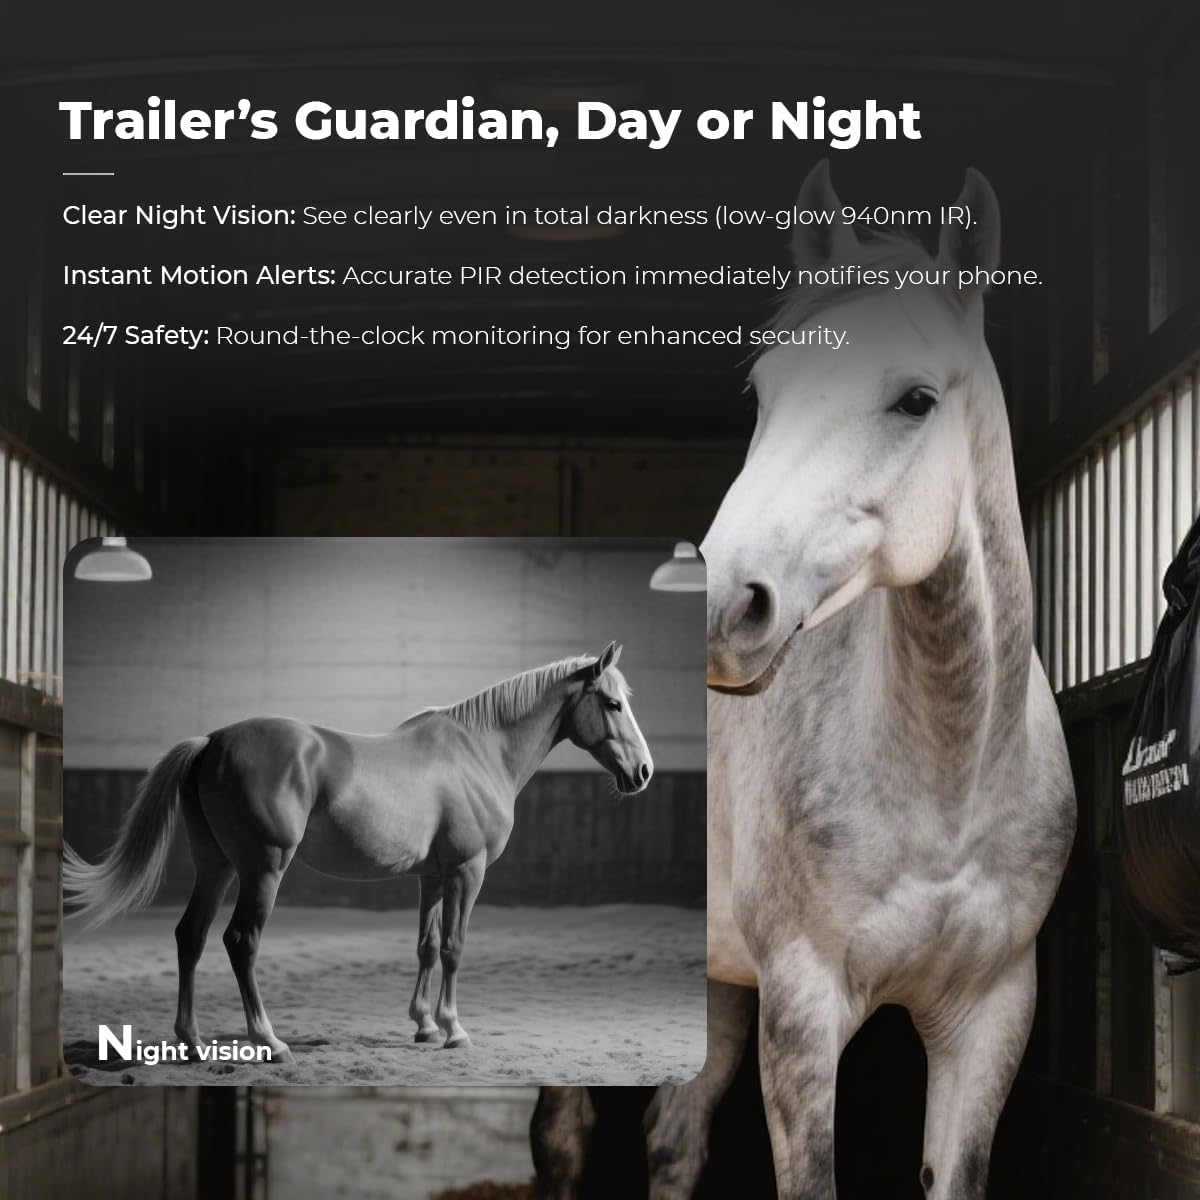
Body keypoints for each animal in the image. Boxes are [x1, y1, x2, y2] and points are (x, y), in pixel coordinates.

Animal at [64, 642, 652, 1061]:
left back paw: (190, 1039)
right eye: (613, 703)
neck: (479, 753)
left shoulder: (432, 877)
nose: (643, 772)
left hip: (217, 866)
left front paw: (424, 1025)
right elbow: (455, 947)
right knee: (240, 941)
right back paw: (268, 1040)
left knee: (190, 936)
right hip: (262, 867)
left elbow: (427, 947)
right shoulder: (467, 871)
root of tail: (213, 741)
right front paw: (454, 1030)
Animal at [532, 164, 1076, 1199]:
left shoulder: (991, 1015)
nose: (720, 606)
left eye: (915, 400)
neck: (947, 779)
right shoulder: (804, 1008)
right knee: (564, 1139)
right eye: (763, 389)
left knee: (674, 1136)